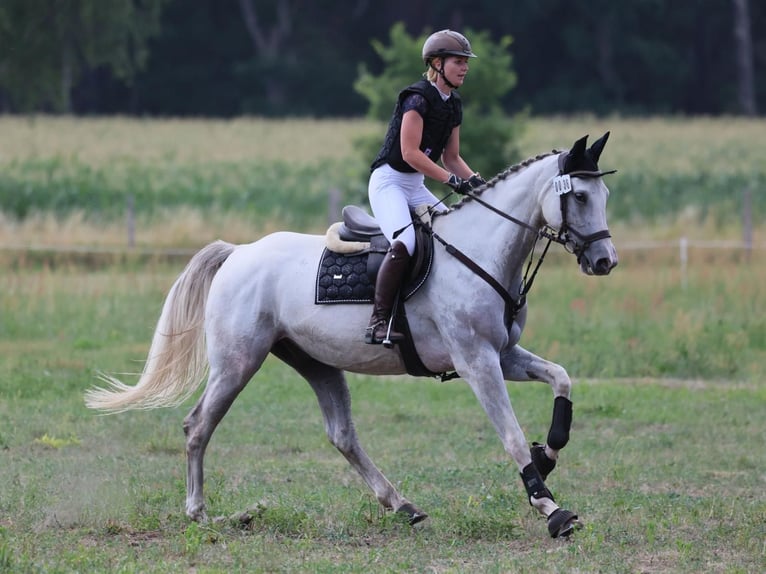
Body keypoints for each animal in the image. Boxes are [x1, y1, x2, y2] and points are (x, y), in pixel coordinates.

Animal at [85, 132, 618, 539]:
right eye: (579, 196)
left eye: (604, 197)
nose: (604, 261)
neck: (482, 251)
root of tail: (238, 252)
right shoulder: (476, 361)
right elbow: (510, 435)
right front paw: (551, 509)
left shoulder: (503, 354)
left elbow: (562, 379)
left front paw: (547, 456)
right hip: (238, 362)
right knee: (198, 426)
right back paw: (199, 513)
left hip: (315, 362)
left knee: (342, 435)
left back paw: (401, 504)